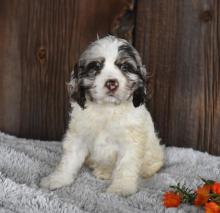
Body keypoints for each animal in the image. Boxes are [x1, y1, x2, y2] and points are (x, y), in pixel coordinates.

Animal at [39, 35, 164, 196]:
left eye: (125, 67)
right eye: (96, 67)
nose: (112, 83)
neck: (107, 109)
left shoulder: (131, 142)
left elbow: (125, 165)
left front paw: (121, 188)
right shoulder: (78, 135)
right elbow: (69, 160)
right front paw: (57, 179)